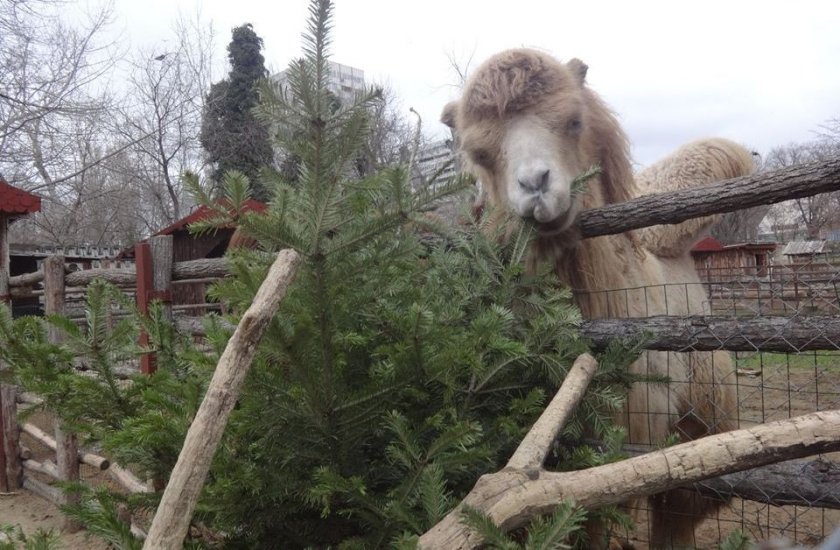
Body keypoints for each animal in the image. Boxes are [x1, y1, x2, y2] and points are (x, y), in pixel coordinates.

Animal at [440, 49, 756, 548]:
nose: (536, 187)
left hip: (701, 418)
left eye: (574, 121)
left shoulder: (620, 447)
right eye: (479, 153)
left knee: (680, 507)